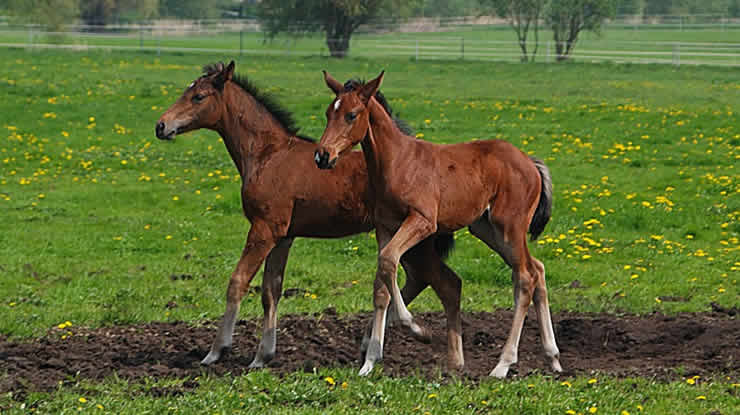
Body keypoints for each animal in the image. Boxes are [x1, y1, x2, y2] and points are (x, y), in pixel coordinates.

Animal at [154, 61, 460, 368]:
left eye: (198, 97)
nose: (161, 126)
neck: (268, 154)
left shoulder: (264, 229)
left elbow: (238, 282)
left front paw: (216, 351)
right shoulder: (283, 236)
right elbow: (271, 290)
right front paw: (263, 356)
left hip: (415, 240)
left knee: (441, 282)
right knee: (420, 280)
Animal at [314, 72, 560, 380]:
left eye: (351, 115)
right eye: (328, 113)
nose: (322, 156)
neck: (397, 162)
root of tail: (531, 163)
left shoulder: (422, 221)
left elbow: (389, 260)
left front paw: (417, 329)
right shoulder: (385, 227)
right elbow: (381, 283)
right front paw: (369, 362)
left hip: (510, 227)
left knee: (525, 276)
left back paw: (502, 365)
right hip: (487, 229)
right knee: (537, 269)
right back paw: (553, 357)